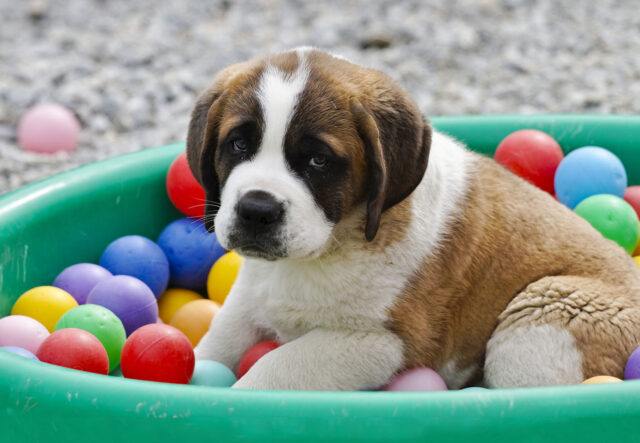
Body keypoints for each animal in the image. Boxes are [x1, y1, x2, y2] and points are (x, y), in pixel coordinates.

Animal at [188, 46, 640, 390]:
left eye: (318, 161)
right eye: (238, 145)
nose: (256, 210)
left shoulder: (384, 341)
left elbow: (275, 369)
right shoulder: (249, 298)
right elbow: (217, 342)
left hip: (542, 315)